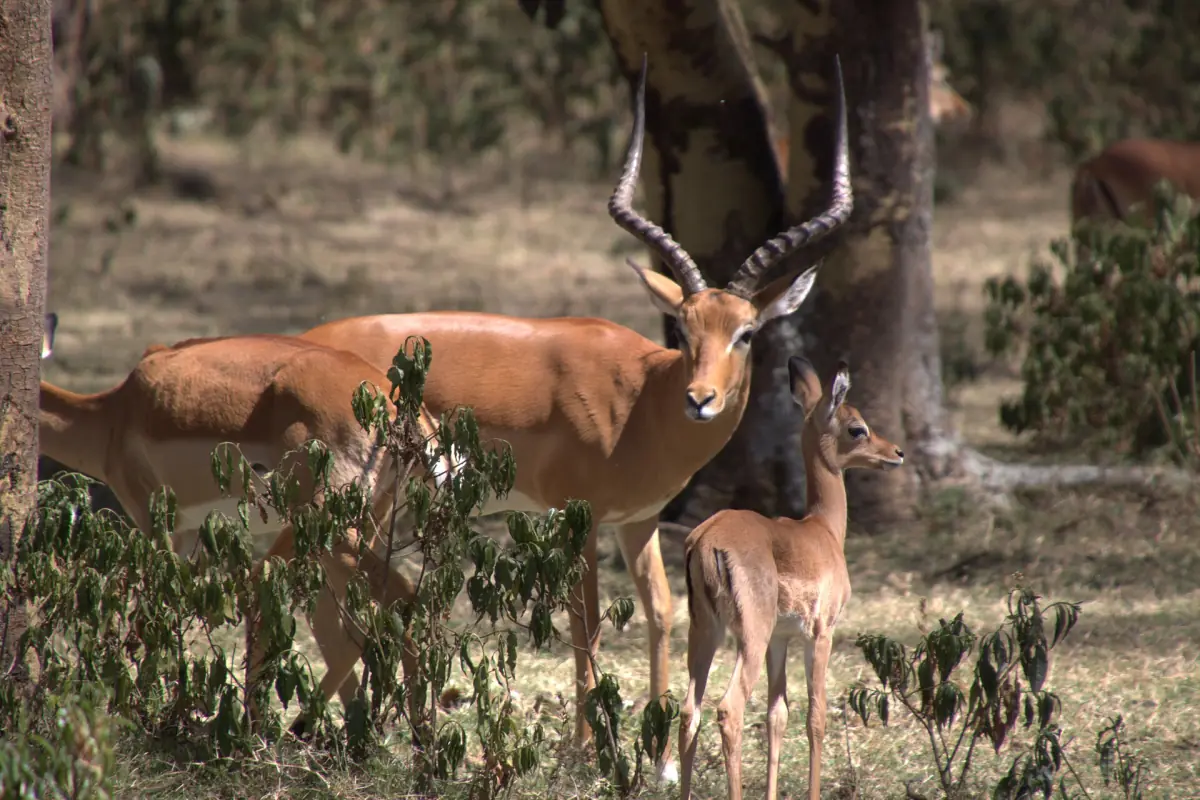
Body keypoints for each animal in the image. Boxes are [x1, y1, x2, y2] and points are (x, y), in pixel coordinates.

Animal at [38, 315, 454, 711]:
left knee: (394, 600)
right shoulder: (191, 533)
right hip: (360, 521)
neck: (114, 415)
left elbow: (154, 610)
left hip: (329, 529)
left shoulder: (155, 521)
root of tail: (393, 401)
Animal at [278, 55, 853, 775]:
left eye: (746, 332)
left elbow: (660, 611)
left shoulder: (637, 520)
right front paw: (588, 749)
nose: (701, 399)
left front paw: (661, 761)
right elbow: (587, 621)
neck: (643, 399)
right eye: (684, 327)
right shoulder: (581, 517)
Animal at [678, 357, 905, 800]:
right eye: (857, 427)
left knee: (688, 711)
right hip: (749, 636)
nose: (896, 453)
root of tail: (707, 538)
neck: (822, 530)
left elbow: (777, 715)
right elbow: (816, 715)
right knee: (728, 710)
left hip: (707, 632)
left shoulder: (780, 640)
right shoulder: (820, 633)